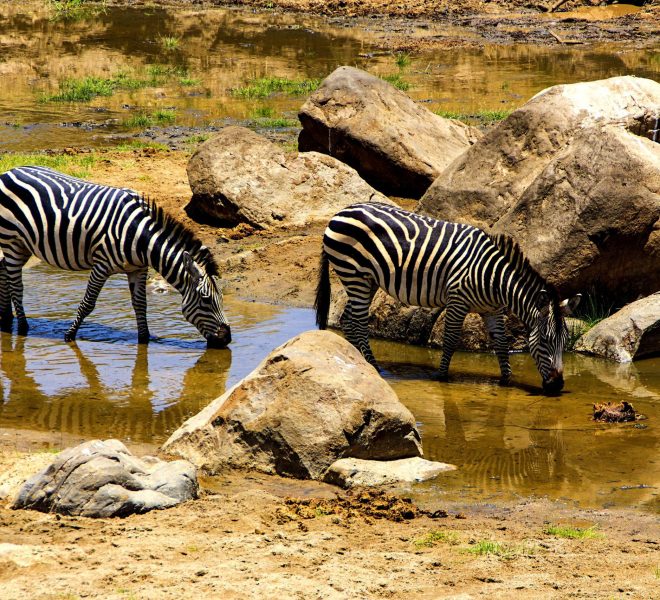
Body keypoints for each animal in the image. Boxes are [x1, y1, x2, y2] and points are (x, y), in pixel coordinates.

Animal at [0, 165, 231, 347]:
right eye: (206, 301)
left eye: (221, 298)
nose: (227, 339)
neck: (139, 237)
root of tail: (9, 171)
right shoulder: (101, 265)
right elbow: (88, 303)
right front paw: (69, 336)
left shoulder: (138, 269)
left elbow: (140, 305)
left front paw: (144, 340)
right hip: (12, 241)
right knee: (16, 285)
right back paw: (23, 327)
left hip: (22, 245)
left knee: (4, 271)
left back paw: (6, 318)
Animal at [315, 202, 580, 394]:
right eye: (545, 340)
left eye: (565, 341)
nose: (557, 387)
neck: (494, 278)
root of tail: (342, 211)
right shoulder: (457, 301)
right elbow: (451, 339)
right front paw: (442, 376)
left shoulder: (493, 310)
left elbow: (502, 344)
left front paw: (506, 379)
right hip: (354, 274)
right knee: (359, 322)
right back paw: (374, 367)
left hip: (366, 281)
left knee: (348, 318)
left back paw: (356, 359)